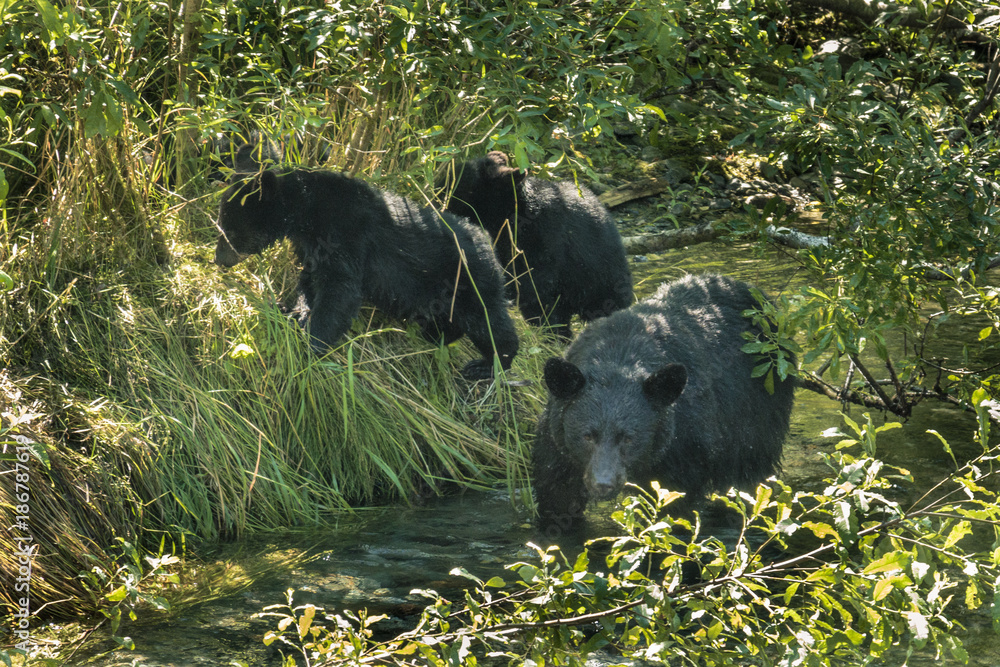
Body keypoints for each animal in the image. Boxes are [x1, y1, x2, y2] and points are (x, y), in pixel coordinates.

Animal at [214, 165, 520, 380]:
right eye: (223, 225)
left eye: (229, 230)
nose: (218, 259)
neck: (307, 211)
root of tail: (489, 245)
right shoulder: (313, 247)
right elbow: (311, 281)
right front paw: (292, 311)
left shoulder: (346, 234)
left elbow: (340, 292)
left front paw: (311, 344)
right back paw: (435, 336)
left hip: (468, 281)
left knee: (488, 321)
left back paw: (489, 364)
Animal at [532, 273, 796, 533]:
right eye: (587, 436)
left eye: (628, 438)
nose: (603, 483)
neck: (617, 360)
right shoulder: (557, 445)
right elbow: (557, 499)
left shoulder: (682, 444)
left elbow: (675, 505)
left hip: (759, 407)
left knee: (749, 472)